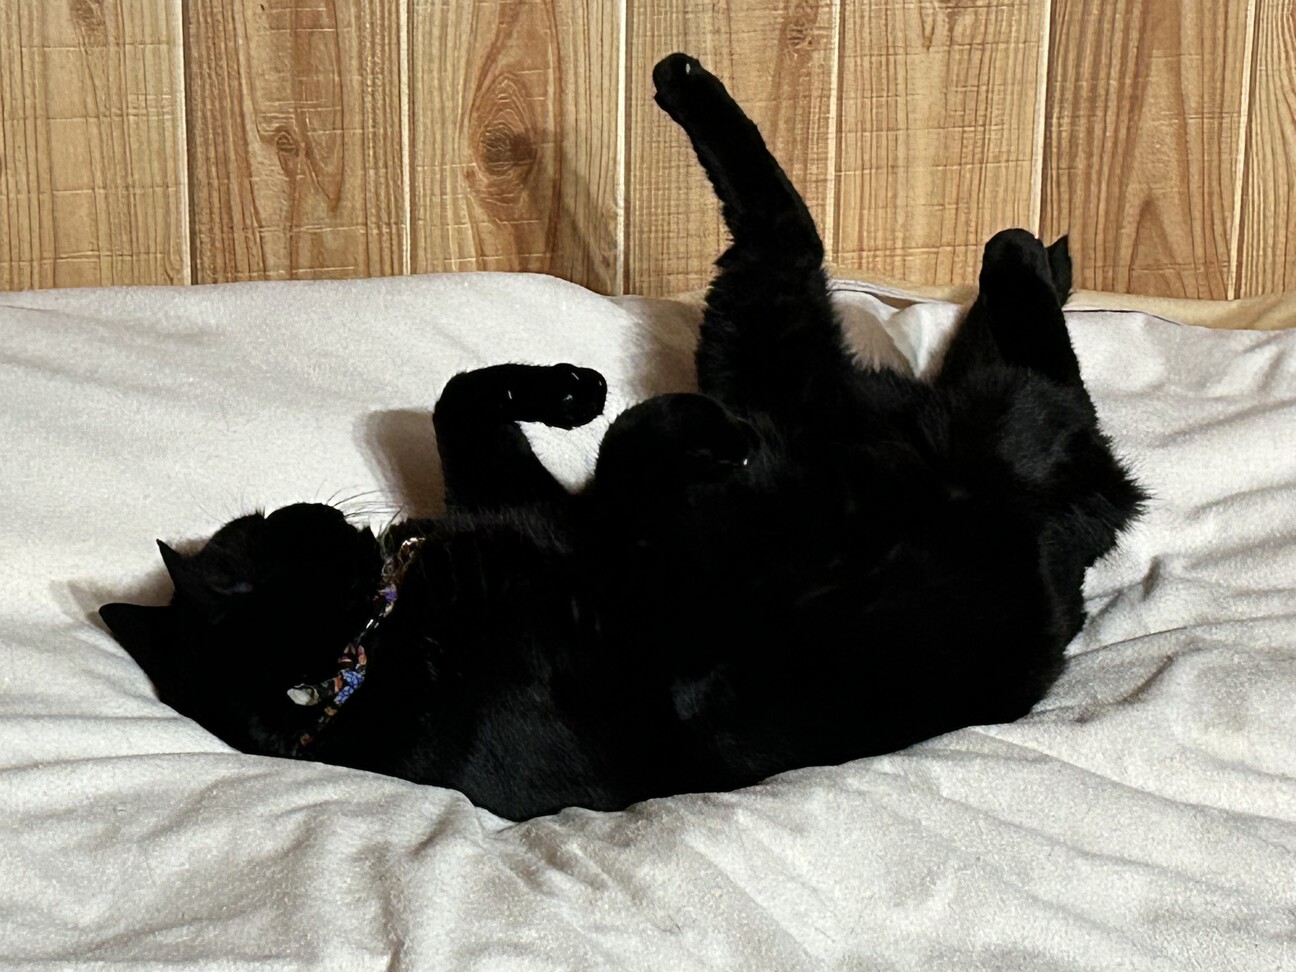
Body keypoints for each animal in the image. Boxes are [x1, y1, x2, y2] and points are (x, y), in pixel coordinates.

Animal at [100, 53, 1144, 821]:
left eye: (263, 522)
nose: (327, 513)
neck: (369, 652)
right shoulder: (622, 568)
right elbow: (627, 449)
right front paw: (694, 437)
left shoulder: (522, 500)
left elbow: (457, 398)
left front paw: (570, 390)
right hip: (968, 414)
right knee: (1003, 344)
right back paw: (1019, 263)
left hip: (762, 348)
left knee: (801, 239)